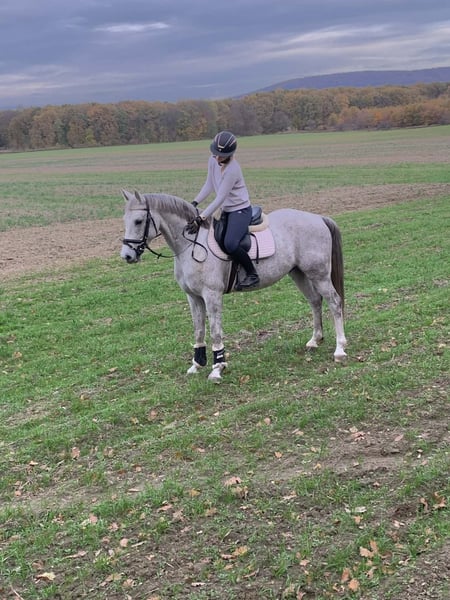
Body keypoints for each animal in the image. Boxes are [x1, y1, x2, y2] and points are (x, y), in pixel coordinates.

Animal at [120, 190, 347, 382]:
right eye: (125, 220)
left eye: (139, 221)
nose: (127, 256)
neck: (192, 244)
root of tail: (318, 218)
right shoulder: (193, 297)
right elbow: (198, 330)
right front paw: (197, 364)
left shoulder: (212, 295)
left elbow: (215, 331)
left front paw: (217, 368)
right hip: (299, 273)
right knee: (315, 301)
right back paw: (315, 340)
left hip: (319, 275)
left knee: (335, 303)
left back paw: (340, 349)